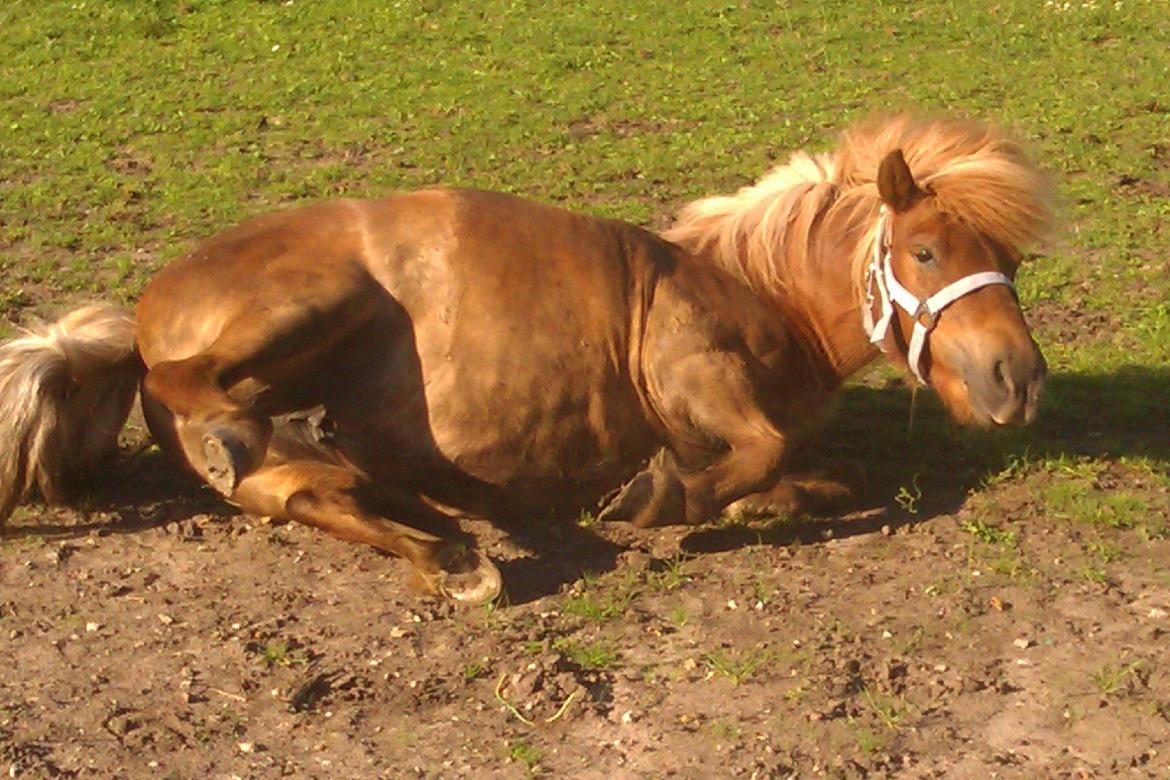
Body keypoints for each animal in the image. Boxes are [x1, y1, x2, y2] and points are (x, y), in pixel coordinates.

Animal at [0, 114, 1062, 603]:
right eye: (925, 252)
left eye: (1006, 261)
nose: (1019, 380)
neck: (756, 293)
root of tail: (145, 318)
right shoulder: (688, 375)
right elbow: (751, 452)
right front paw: (662, 496)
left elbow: (827, 477)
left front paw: (751, 501)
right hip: (315, 301)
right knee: (213, 396)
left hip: (302, 462)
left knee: (327, 494)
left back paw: (448, 544)